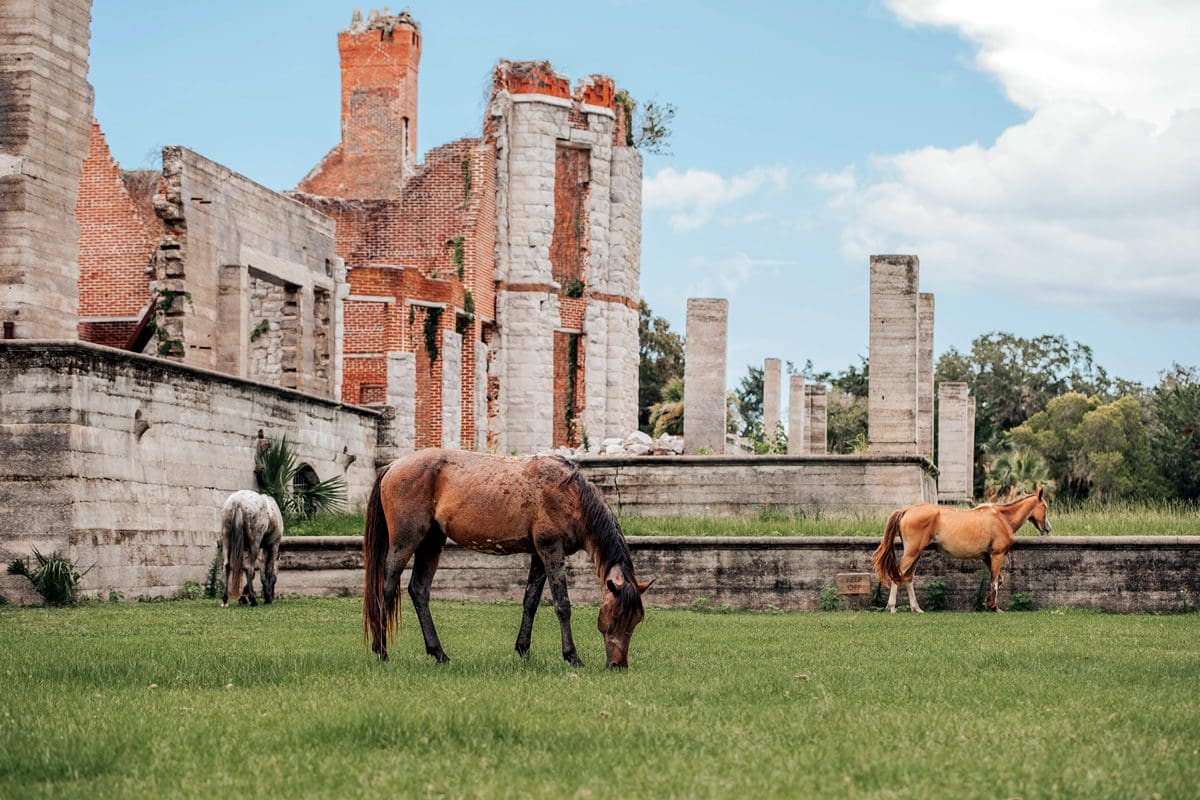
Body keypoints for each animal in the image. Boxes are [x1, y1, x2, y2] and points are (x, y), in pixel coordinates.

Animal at [363, 449, 652, 668]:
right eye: (615, 617)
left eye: (636, 620)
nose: (618, 665)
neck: (569, 494)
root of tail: (393, 466)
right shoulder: (551, 549)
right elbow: (562, 604)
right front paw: (572, 656)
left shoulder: (539, 555)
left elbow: (530, 601)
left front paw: (523, 649)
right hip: (406, 541)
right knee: (387, 588)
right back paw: (382, 651)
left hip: (432, 542)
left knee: (419, 590)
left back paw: (439, 653)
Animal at [871, 488, 1052, 613]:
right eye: (1045, 506)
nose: (1048, 528)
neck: (1002, 517)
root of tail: (907, 510)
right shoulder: (997, 555)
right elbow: (995, 581)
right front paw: (994, 606)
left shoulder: (987, 557)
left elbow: (998, 579)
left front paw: (987, 602)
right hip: (912, 552)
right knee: (897, 574)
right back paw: (892, 607)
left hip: (916, 554)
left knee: (907, 578)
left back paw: (916, 608)